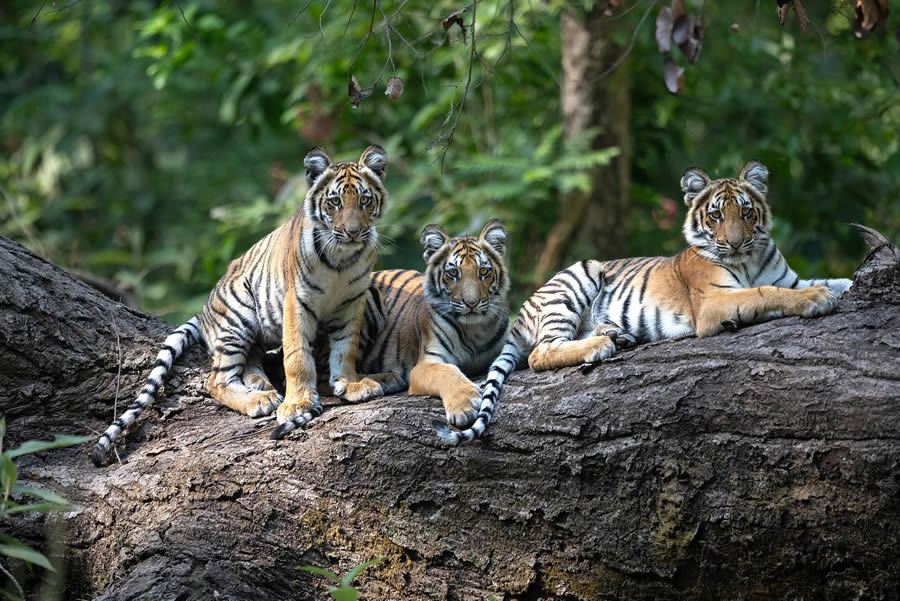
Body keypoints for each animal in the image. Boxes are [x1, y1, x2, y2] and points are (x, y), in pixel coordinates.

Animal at [91, 145, 390, 464]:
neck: (342, 259)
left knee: (249, 358)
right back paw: (259, 399)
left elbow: (346, 348)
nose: (354, 232)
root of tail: (205, 312)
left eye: (365, 200)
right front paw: (298, 404)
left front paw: (352, 383)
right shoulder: (296, 301)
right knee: (216, 380)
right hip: (239, 315)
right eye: (334, 202)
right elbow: (297, 358)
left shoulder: (352, 302)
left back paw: (261, 385)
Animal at [270, 218, 510, 438]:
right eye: (453, 274)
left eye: (484, 272)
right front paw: (464, 405)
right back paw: (378, 382)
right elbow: (447, 373)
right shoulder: (425, 364)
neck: (475, 330)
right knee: (326, 375)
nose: (471, 303)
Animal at [440, 162, 856, 442]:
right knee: (542, 352)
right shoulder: (713, 301)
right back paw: (601, 346)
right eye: (716, 215)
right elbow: (765, 293)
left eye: (746, 211)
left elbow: (825, 280)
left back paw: (617, 335)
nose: (735, 242)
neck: (749, 259)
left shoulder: (790, 277)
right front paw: (816, 299)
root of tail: (521, 314)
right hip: (579, 274)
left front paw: (841, 285)